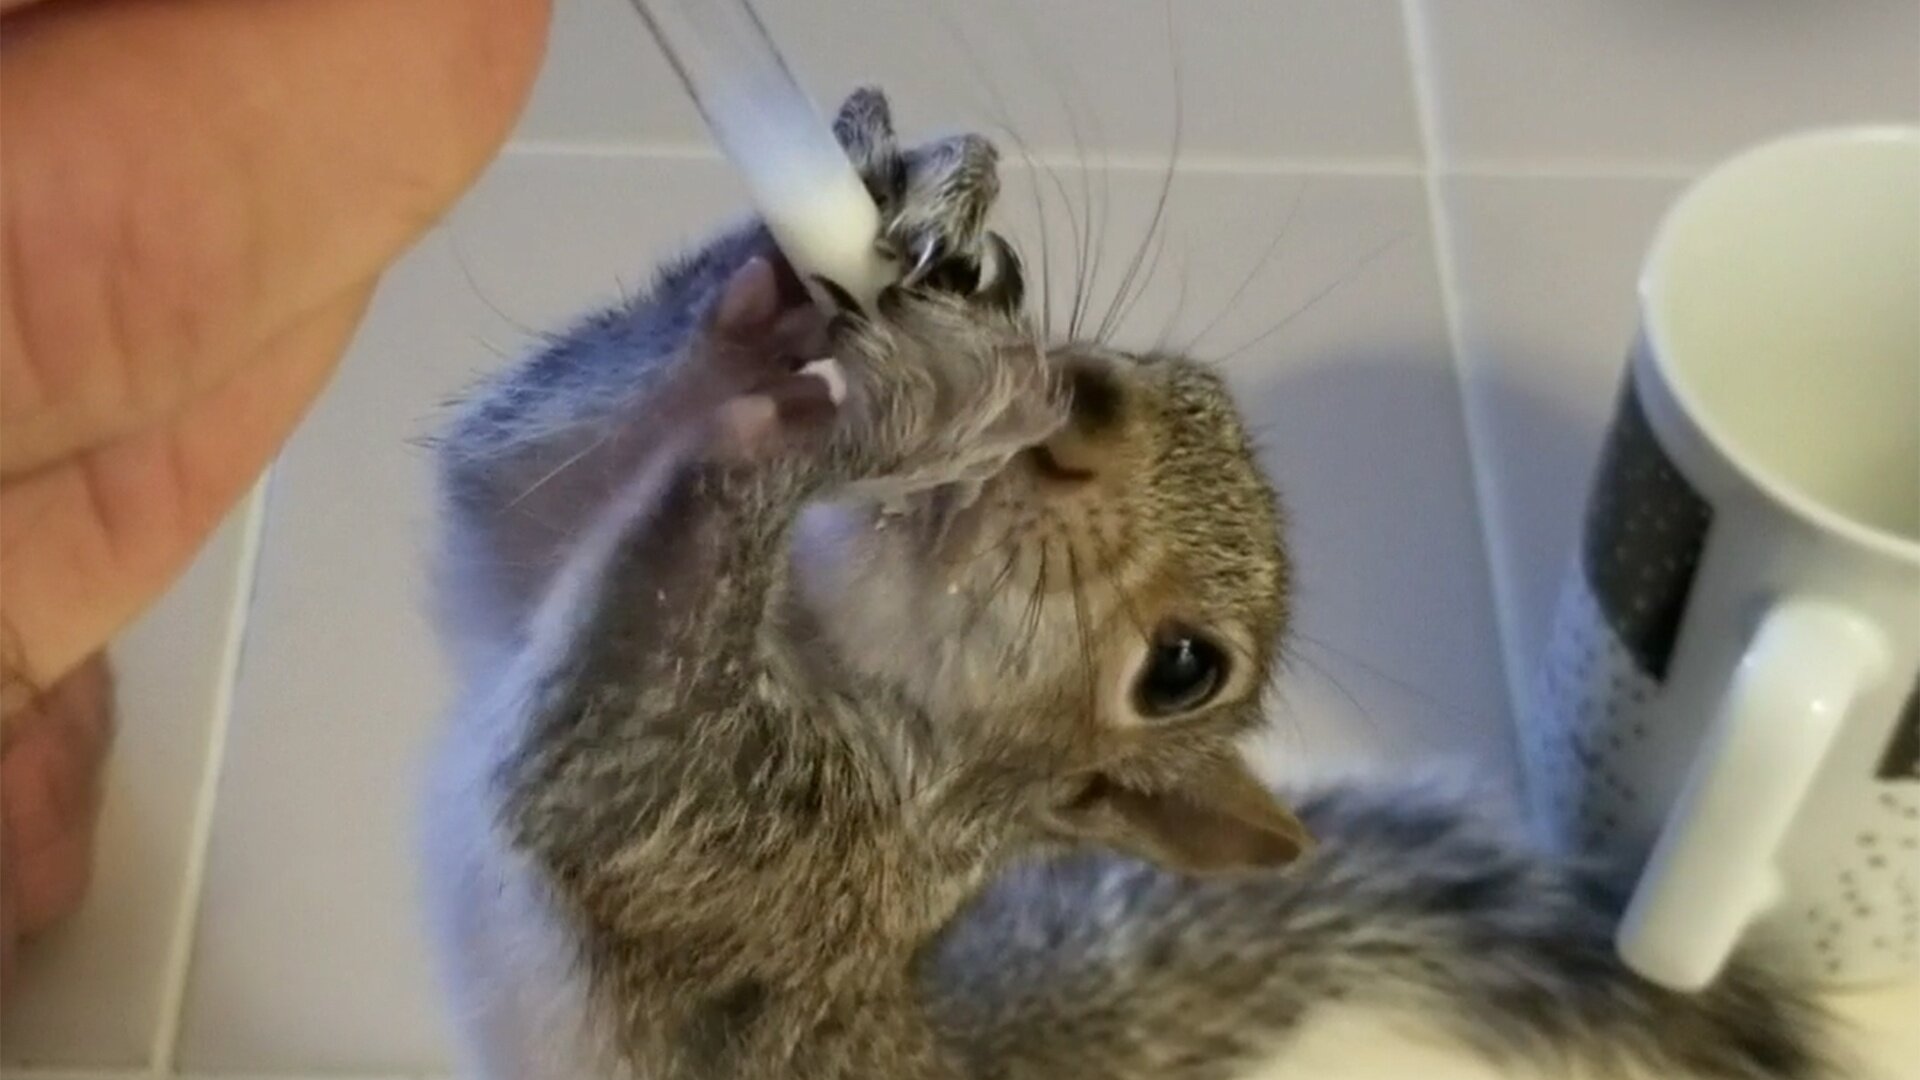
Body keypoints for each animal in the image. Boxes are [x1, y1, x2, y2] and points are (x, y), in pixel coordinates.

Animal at [418, 88, 1833, 1080]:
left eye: (1184, 670)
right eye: (1163, 372)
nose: (1076, 399)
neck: (822, 655)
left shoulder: (737, 845)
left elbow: (597, 754)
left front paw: (848, 420)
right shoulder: (521, 568)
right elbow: (507, 480)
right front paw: (858, 228)